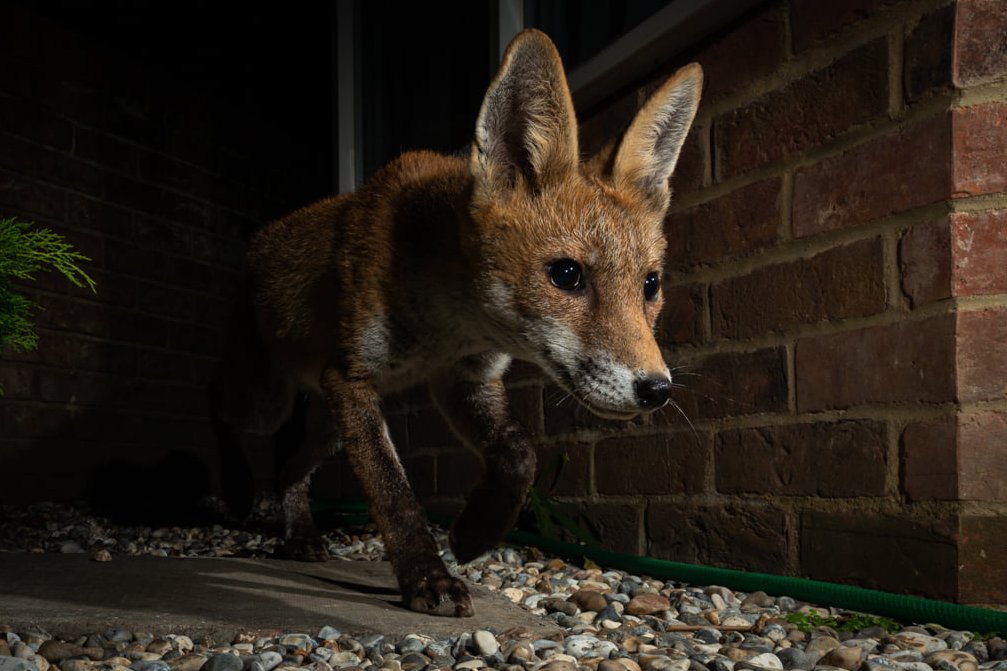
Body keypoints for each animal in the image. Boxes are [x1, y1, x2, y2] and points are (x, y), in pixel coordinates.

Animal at [209, 31, 704, 616]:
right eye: (566, 275)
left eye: (650, 285)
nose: (657, 390)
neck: (449, 324)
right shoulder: (352, 378)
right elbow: (393, 492)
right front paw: (428, 576)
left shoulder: (464, 378)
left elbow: (519, 456)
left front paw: (474, 534)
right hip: (272, 400)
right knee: (224, 414)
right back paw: (238, 492)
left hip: (328, 429)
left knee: (290, 468)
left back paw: (300, 535)